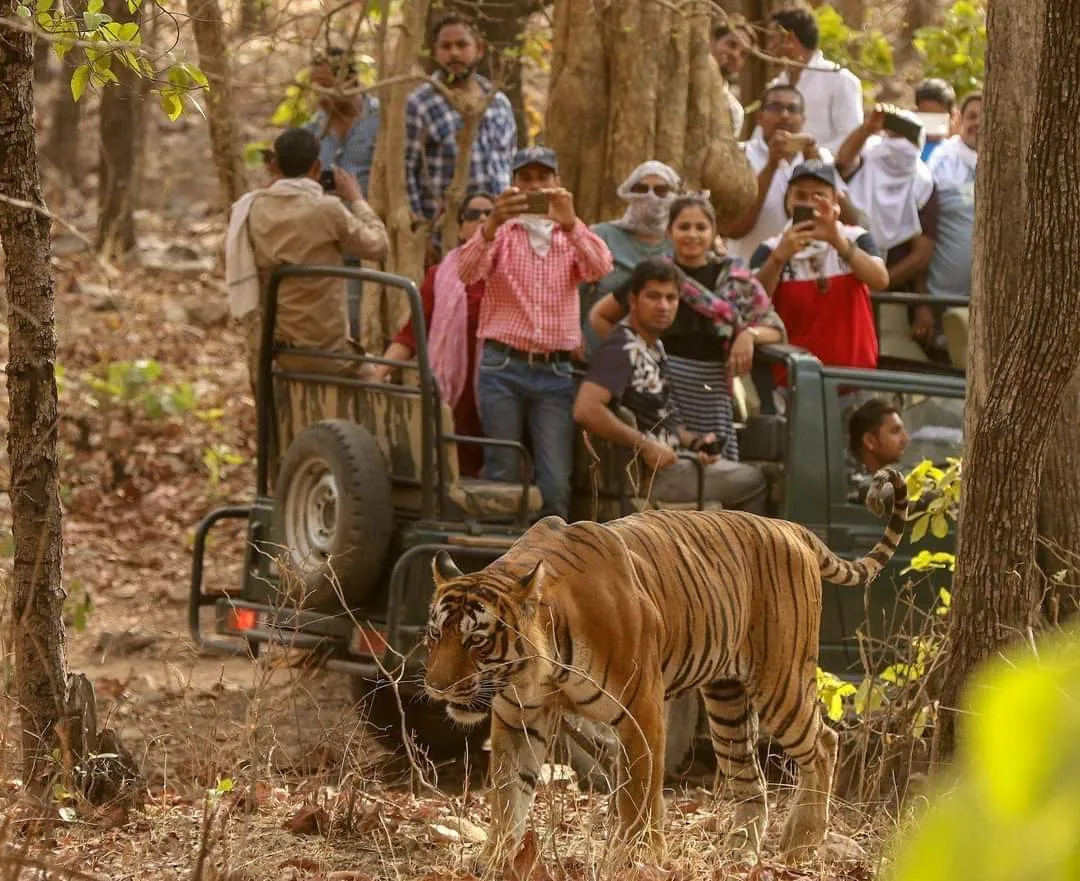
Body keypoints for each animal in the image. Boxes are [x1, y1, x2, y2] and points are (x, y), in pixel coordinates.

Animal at [425, 464, 907, 863]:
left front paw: (635, 858)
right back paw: (739, 854)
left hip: (780, 681)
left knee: (824, 742)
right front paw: (494, 860)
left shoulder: (641, 708)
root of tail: (791, 526)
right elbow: (508, 796)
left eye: (476, 640)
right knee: (751, 780)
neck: (539, 673)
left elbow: (639, 793)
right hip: (728, 702)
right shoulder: (517, 719)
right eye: (435, 635)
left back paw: (800, 844)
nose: (435, 687)